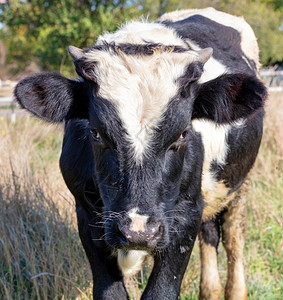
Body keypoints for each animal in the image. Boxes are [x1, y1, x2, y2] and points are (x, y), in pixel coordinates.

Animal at [15, 7, 268, 300]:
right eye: (95, 132)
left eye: (182, 133)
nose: (138, 231)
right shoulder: (86, 213)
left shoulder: (186, 215)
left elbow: (162, 291)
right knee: (210, 235)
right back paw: (210, 290)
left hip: (238, 184)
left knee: (232, 236)